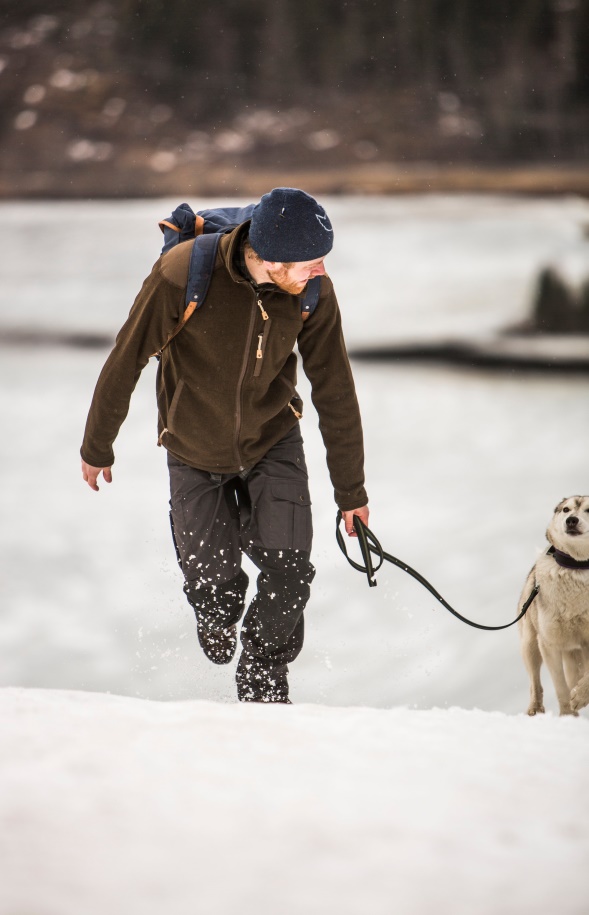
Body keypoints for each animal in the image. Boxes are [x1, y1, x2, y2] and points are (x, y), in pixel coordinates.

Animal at [520, 494, 588, 716]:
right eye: (566, 509)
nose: (571, 520)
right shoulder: (549, 643)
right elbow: (561, 688)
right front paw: (567, 715)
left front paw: (580, 698)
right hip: (530, 644)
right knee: (535, 683)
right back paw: (535, 709)